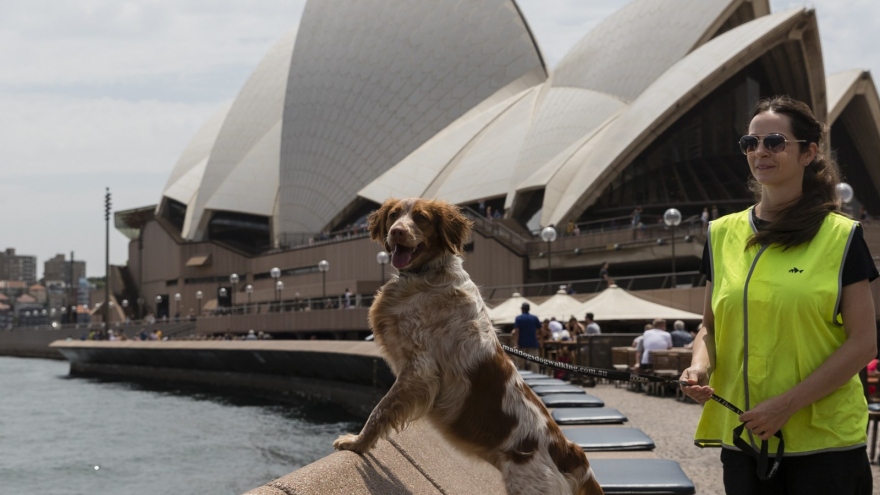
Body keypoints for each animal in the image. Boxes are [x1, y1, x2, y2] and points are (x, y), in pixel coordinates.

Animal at [334, 199, 600, 495]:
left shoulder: (419, 370)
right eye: (393, 215)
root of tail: (570, 451)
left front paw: (357, 443)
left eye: (421, 218)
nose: (397, 231)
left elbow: (379, 410)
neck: (427, 275)